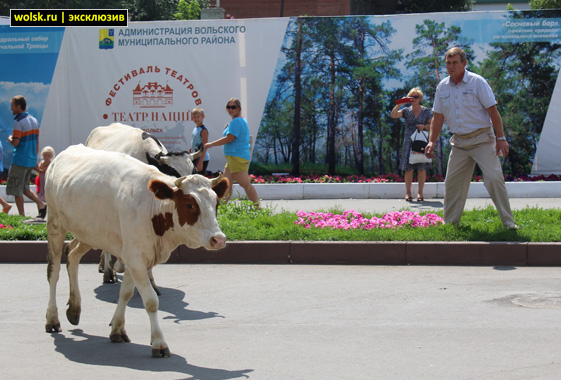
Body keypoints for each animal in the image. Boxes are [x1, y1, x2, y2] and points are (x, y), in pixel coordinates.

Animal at [44, 144, 226, 358]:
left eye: (216, 203)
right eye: (189, 204)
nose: (218, 239)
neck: (152, 207)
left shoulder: (134, 256)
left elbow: (126, 293)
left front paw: (117, 329)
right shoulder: (135, 258)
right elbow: (151, 301)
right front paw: (159, 343)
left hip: (88, 232)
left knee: (72, 256)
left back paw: (74, 309)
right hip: (55, 222)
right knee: (53, 272)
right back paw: (52, 319)